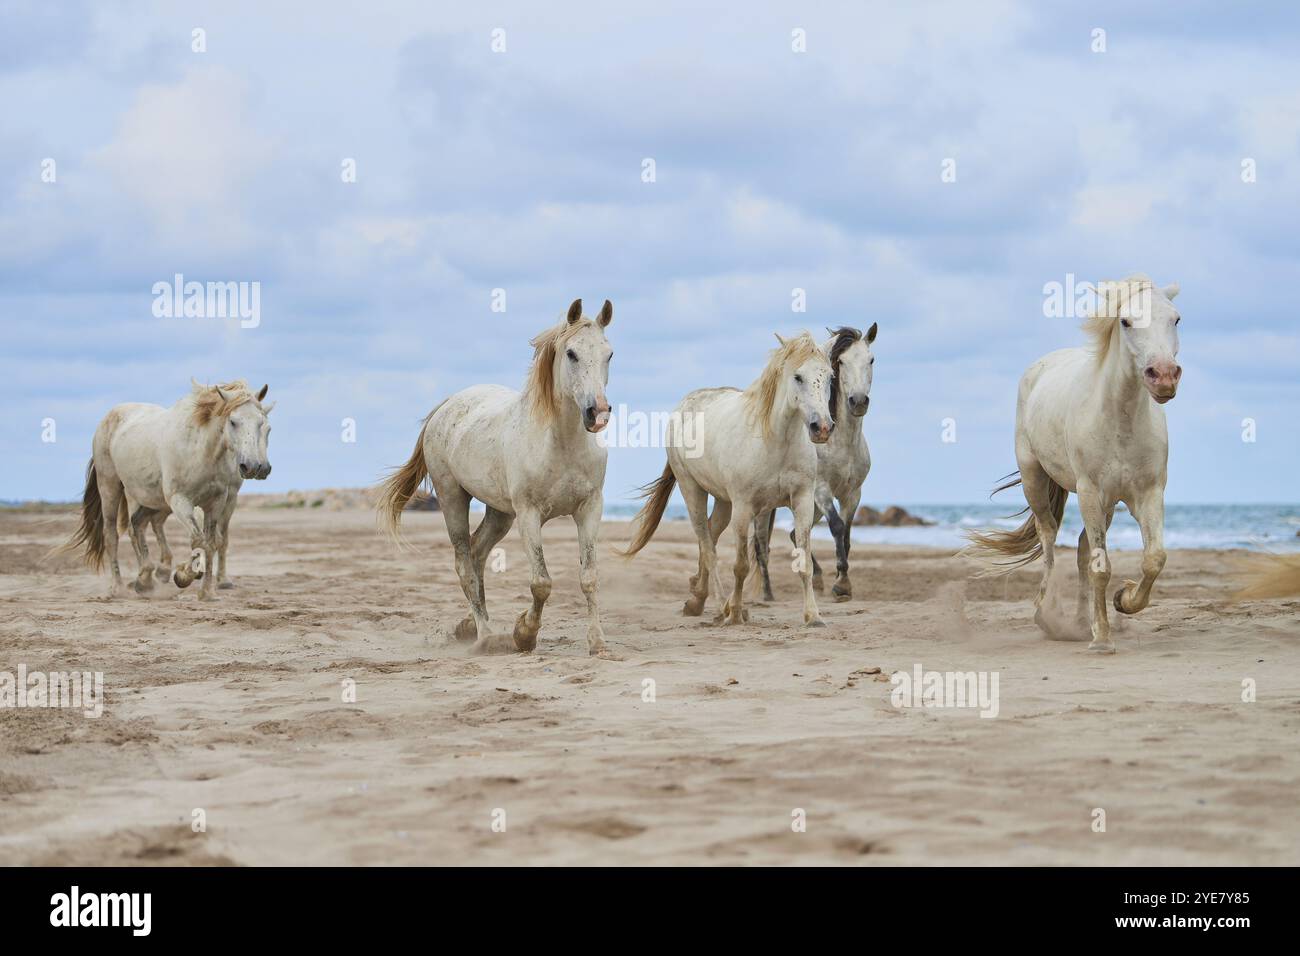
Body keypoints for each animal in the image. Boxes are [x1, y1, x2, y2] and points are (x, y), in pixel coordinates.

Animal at [55, 380, 273, 600]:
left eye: (264, 426)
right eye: (233, 422)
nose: (254, 466)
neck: (201, 450)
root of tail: (109, 418)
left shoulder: (218, 502)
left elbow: (212, 543)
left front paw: (207, 592)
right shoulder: (180, 500)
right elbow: (199, 540)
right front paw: (184, 575)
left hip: (150, 498)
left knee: (138, 524)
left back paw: (145, 580)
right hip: (111, 488)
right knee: (112, 535)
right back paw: (118, 588)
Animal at [377, 298, 614, 657]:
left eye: (609, 354)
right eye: (571, 353)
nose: (597, 414)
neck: (560, 444)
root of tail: (447, 405)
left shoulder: (589, 509)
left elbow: (589, 577)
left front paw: (598, 643)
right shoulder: (529, 514)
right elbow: (541, 583)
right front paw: (524, 634)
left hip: (500, 513)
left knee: (477, 553)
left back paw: (471, 624)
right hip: (453, 499)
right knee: (464, 563)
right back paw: (486, 635)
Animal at [623, 331, 834, 628]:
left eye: (830, 377)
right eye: (798, 377)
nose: (822, 427)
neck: (776, 441)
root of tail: (683, 406)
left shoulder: (802, 501)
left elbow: (805, 562)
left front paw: (813, 616)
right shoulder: (744, 508)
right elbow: (741, 565)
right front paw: (735, 613)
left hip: (724, 501)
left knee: (710, 537)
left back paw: (697, 600)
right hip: (693, 491)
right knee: (707, 545)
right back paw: (721, 606)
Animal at [747, 324, 876, 603]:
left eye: (871, 359)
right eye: (841, 361)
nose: (858, 401)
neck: (842, 442)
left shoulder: (853, 494)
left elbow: (846, 534)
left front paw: (841, 580)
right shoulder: (822, 490)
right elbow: (837, 527)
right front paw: (841, 585)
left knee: (793, 534)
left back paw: (815, 578)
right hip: (765, 509)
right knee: (761, 545)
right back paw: (768, 594)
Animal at [964, 275, 1182, 653]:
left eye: (1176, 319)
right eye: (1126, 321)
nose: (1164, 376)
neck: (1121, 420)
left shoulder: (1148, 494)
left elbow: (1153, 558)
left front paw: (1123, 601)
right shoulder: (1091, 492)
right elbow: (1100, 567)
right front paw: (1103, 641)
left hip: (1107, 505)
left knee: (1081, 547)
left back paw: (1083, 623)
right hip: (1036, 480)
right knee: (1049, 536)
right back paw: (1047, 615)